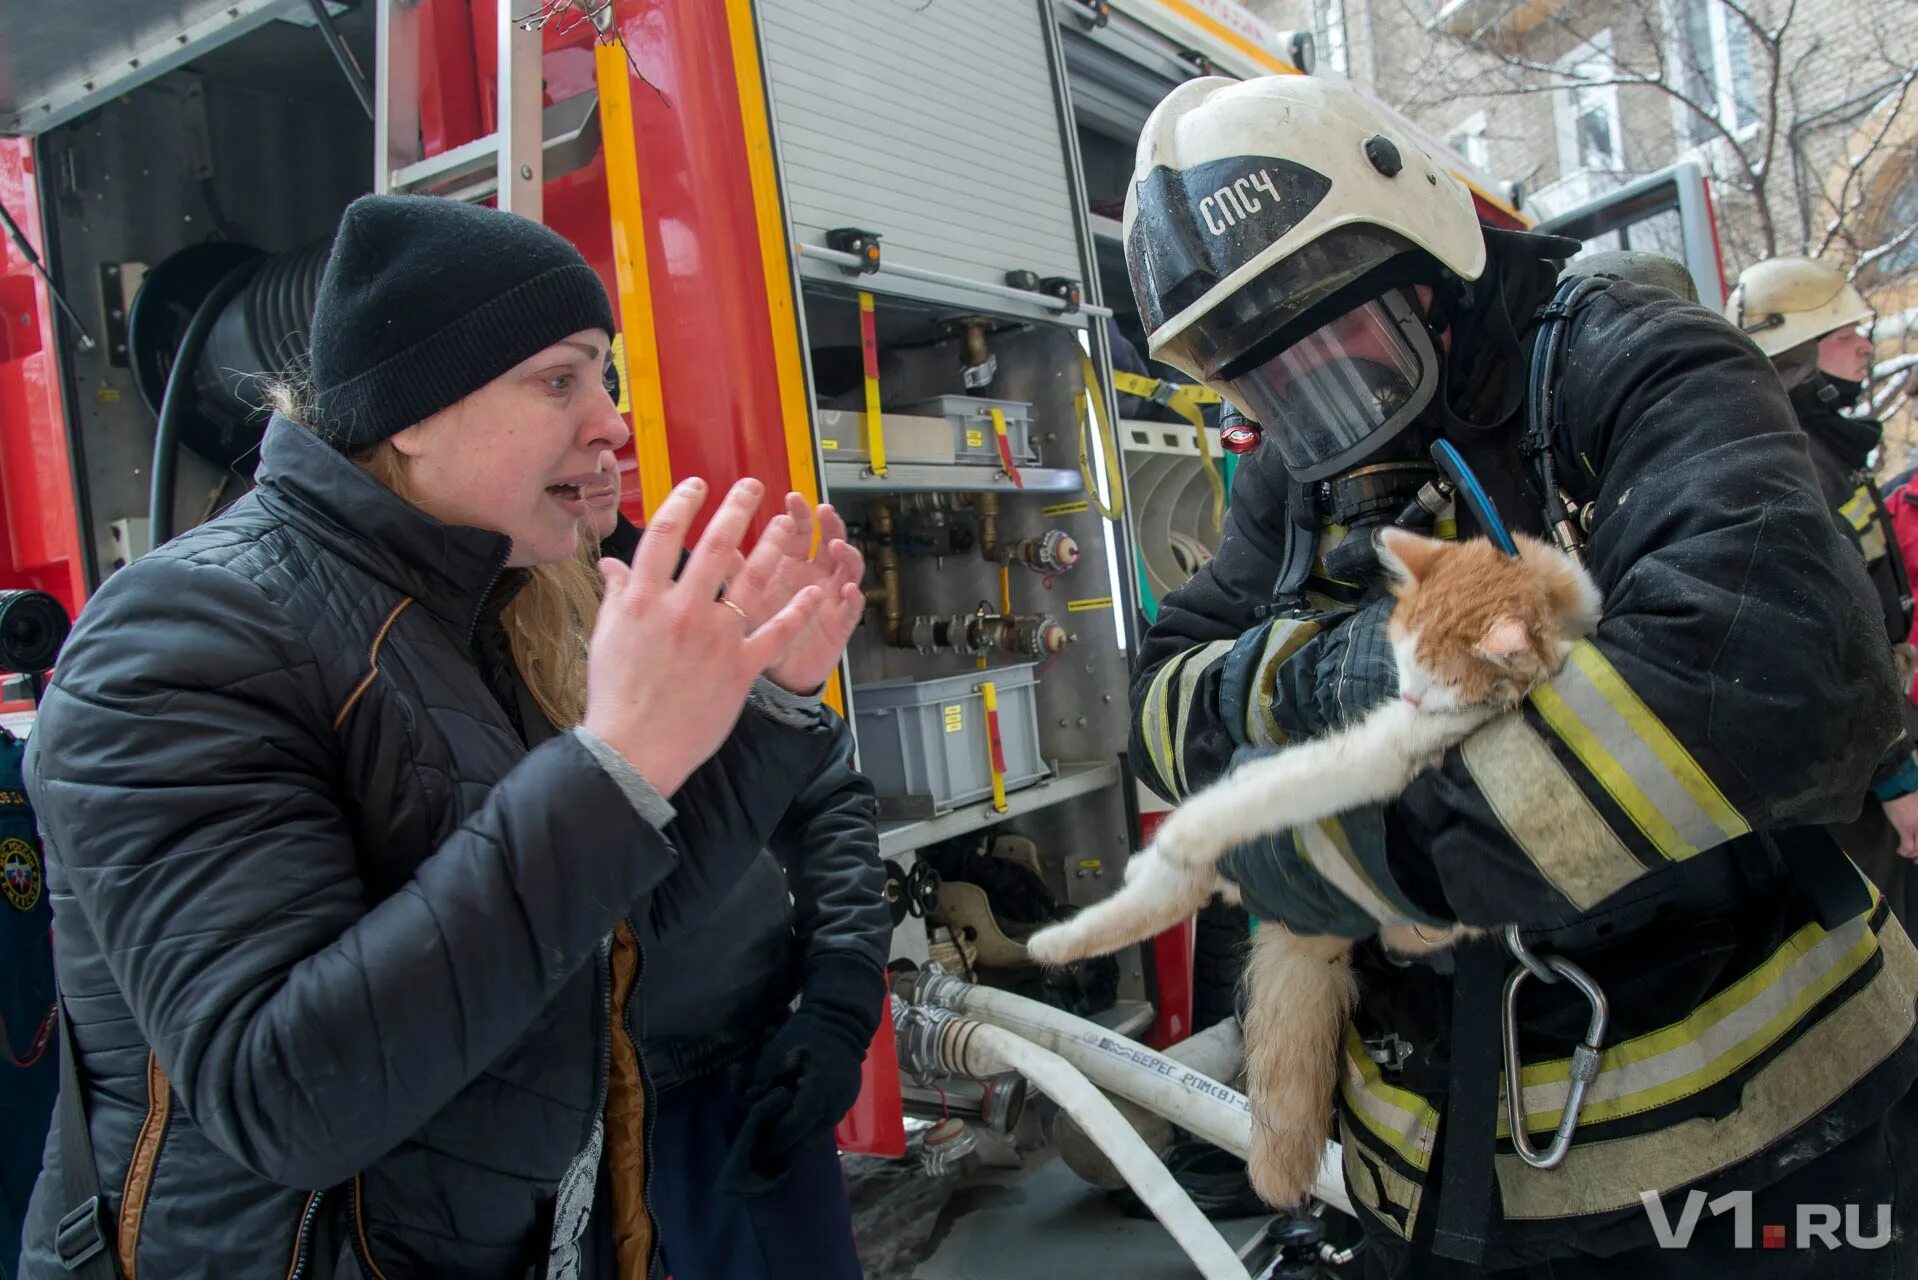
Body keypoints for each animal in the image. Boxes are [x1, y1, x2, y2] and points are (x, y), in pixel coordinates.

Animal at [1028, 529, 1595, 1212]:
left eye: (1445, 679)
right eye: (1402, 656)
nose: (1407, 696)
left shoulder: (1377, 759)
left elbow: (1273, 792)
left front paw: (1187, 831)